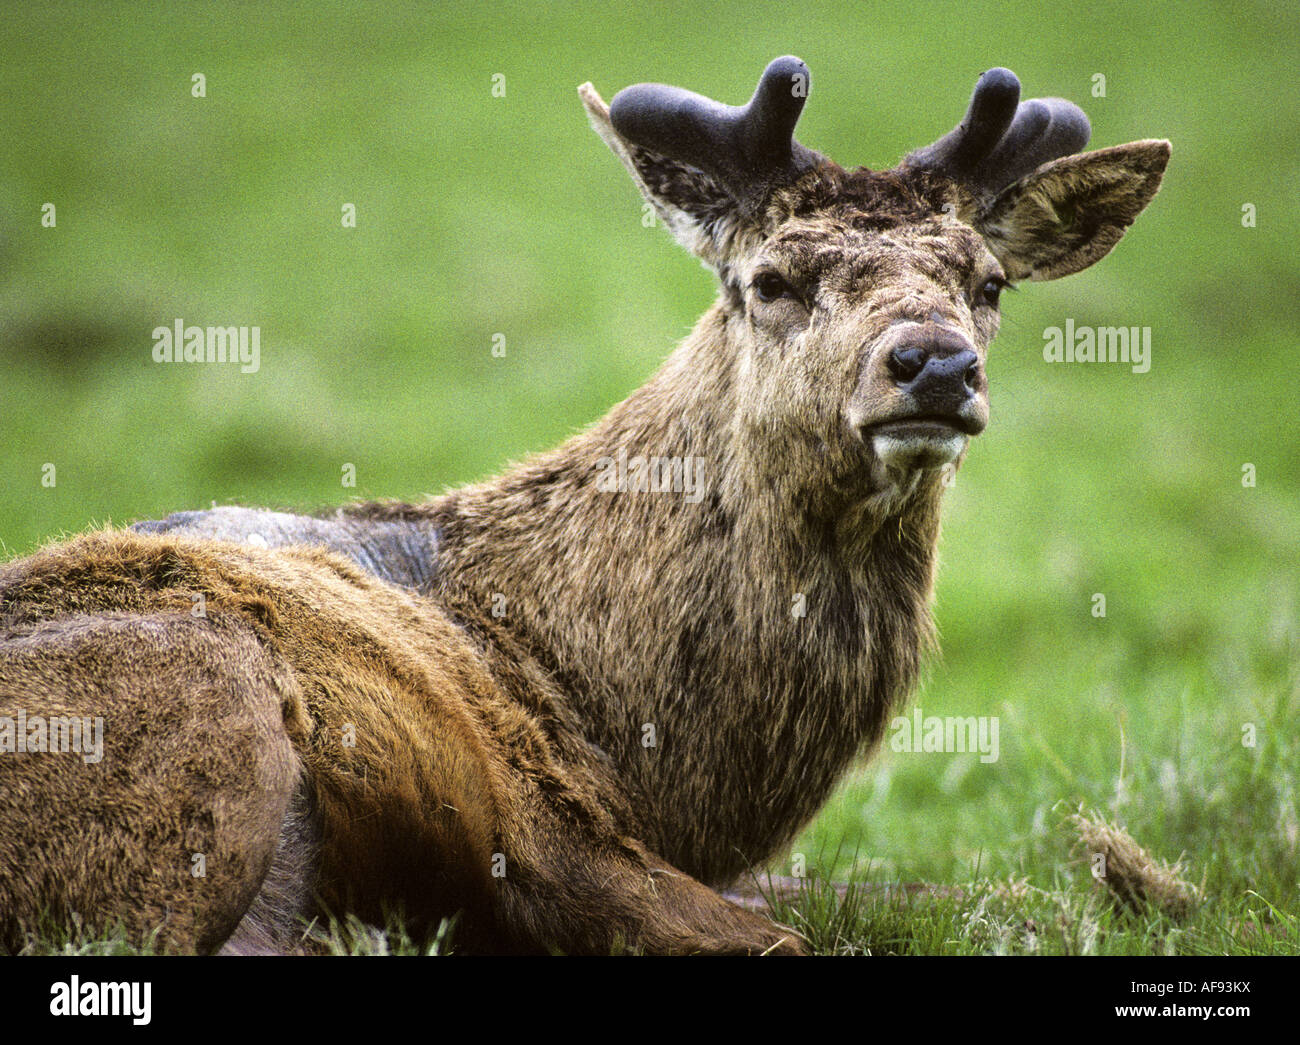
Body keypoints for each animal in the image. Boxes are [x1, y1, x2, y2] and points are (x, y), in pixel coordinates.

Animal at [0, 57, 1175, 956]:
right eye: (770, 279)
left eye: (987, 281)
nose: (934, 363)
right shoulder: (543, 816)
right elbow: (788, 937)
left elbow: (1010, 890)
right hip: (203, 698)